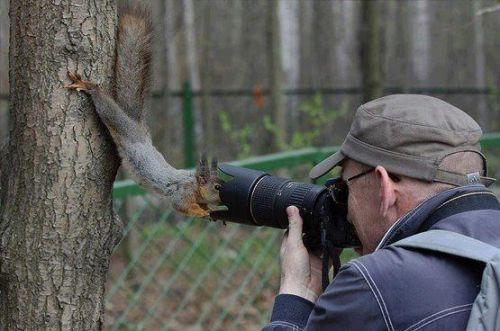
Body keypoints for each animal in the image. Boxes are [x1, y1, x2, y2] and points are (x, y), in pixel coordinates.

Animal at [66, 3, 221, 220]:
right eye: (217, 187)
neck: (194, 183)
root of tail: (136, 125)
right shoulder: (182, 192)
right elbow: (181, 206)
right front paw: (202, 212)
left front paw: (210, 209)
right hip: (119, 123)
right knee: (106, 107)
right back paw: (89, 87)